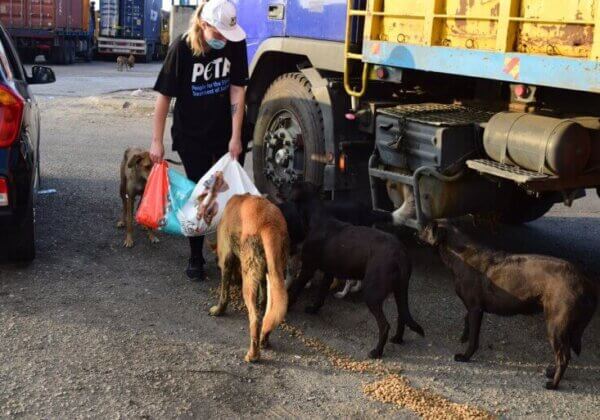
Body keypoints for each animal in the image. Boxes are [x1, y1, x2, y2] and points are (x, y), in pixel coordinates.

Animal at [210, 195, 290, 362]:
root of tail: (269, 224)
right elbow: (263, 299)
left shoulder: (226, 259)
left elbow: (224, 293)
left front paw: (218, 310)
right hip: (274, 274)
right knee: (268, 312)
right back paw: (264, 339)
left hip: (249, 282)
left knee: (255, 319)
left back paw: (253, 355)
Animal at [288, 182, 424, 360]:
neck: (318, 218)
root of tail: (400, 253)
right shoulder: (328, 273)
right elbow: (321, 295)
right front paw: (313, 309)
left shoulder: (308, 268)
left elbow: (296, 288)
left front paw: (288, 307)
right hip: (400, 290)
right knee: (402, 316)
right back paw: (397, 339)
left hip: (372, 294)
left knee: (385, 325)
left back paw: (377, 352)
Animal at [420, 221, 596, 388]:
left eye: (426, 228)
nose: (416, 232)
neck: (461, 254)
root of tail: (584, 281)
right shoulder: (472, 308)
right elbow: (466, 321)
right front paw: (464, 336)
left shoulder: (476, 309)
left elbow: (473, 339)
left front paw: (465, 356)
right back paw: (552, 372)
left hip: (555, 326)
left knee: (563, 357)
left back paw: (553, 384)